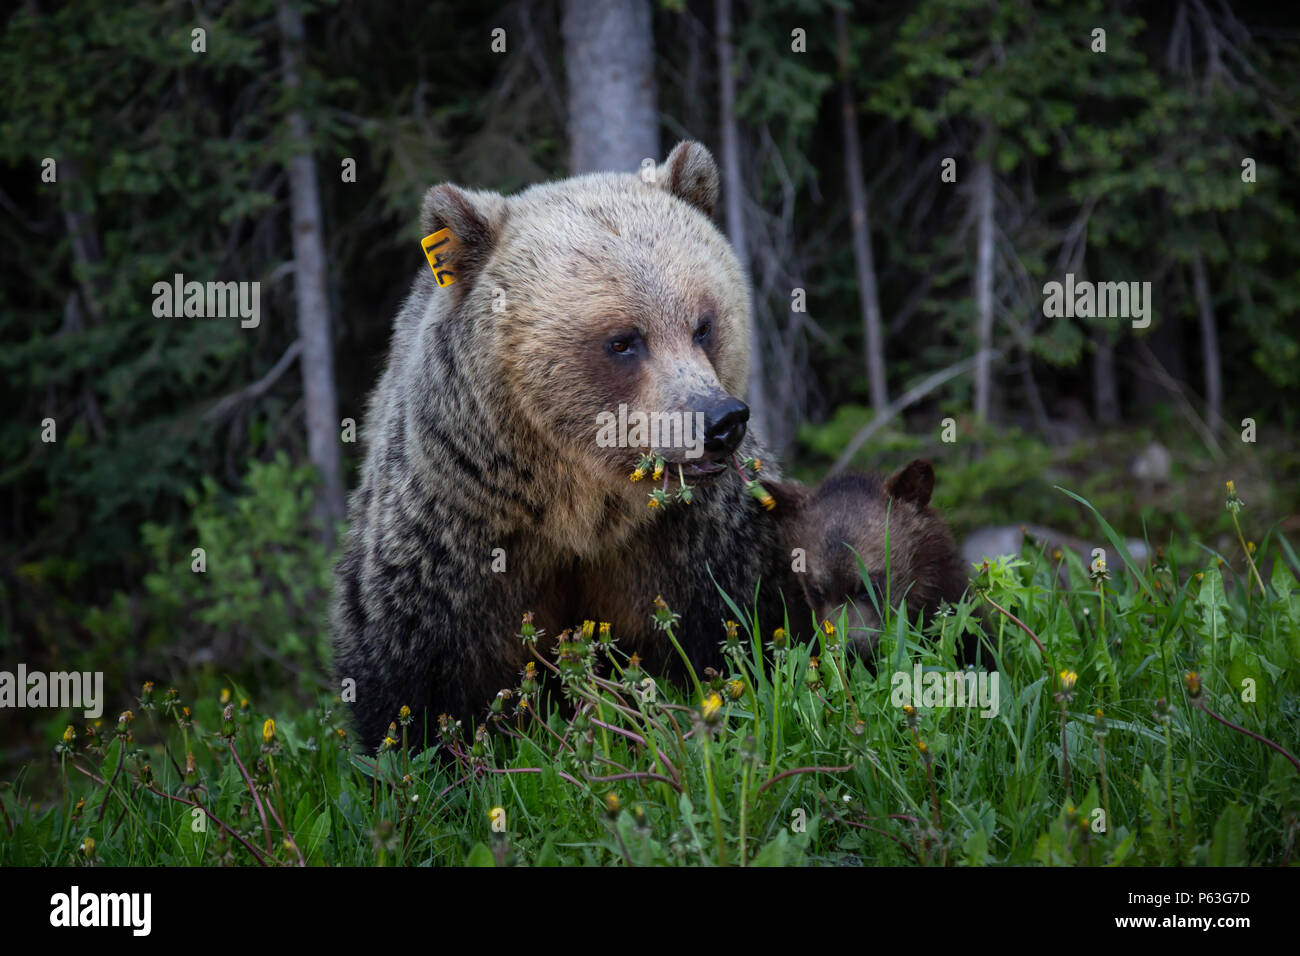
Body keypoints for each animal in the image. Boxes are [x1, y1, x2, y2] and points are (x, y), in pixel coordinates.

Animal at [332, 141, 799, 750]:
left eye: (703, 324)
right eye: (623, 341)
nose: (719, 421)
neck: (576, 509)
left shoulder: (690, 539)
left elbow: (730, 622)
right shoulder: (455, 544)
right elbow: (418, 683)